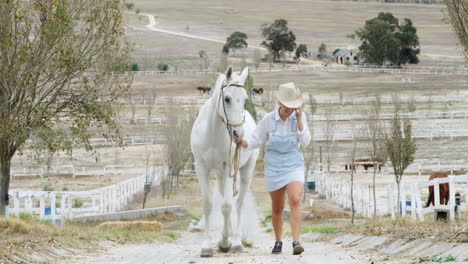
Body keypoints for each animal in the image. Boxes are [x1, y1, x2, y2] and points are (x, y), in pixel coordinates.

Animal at [192, 66, 262, 258]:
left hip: (244, 172)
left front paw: (224, 243)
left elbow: (227, 206)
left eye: (245, 99)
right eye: (227, 99)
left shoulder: (227, 168)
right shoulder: (201, 168)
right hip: (220, 175)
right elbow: (208, 205)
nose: (239, 134)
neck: (212, 133)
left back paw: (236, 241)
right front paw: (207, 246)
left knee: (237, 204)